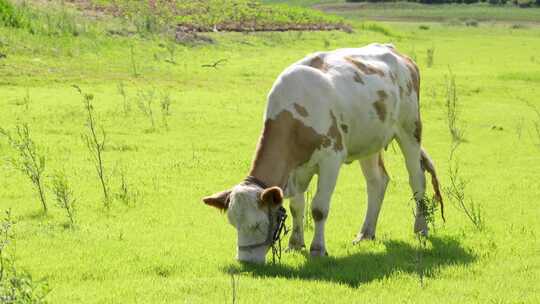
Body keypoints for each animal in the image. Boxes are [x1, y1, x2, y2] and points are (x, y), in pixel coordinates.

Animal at [202, 43, 442, 264]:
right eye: (233, 223)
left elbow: (318, 208)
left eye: (257, 224)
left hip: (410, 130)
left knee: (417, 180)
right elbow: (296, 206)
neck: (296, 112)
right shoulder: (294, 168)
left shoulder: (331, 159)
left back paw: (421, 228)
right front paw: (295, 244)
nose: (245, 260)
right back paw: (366, 233)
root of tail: (397, 53)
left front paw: (317, 249)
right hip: (369, 141)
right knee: (377, 182)